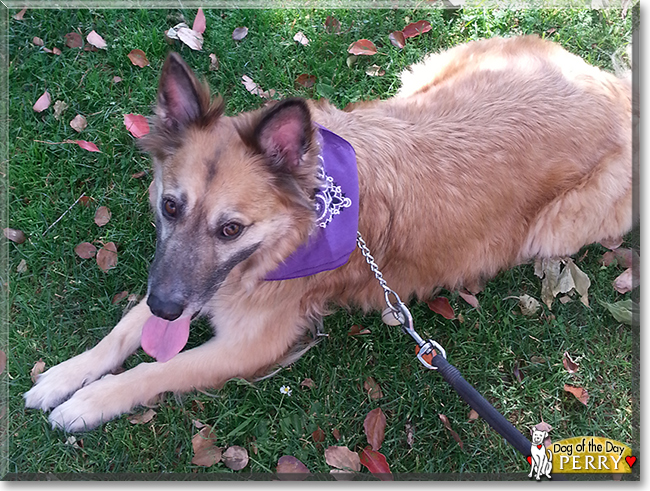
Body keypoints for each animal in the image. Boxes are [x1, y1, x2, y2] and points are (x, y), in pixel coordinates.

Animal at [22, 35, 632, 434]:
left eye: (231, 229)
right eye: (170, 207)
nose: (169, 307)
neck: (306, 216)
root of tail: (614, 90)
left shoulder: (249, 344)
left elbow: (156, 368)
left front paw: (90, 402)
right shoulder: (174, 283)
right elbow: (125, 331)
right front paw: (65, 377)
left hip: (552, 234)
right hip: (420, 80)